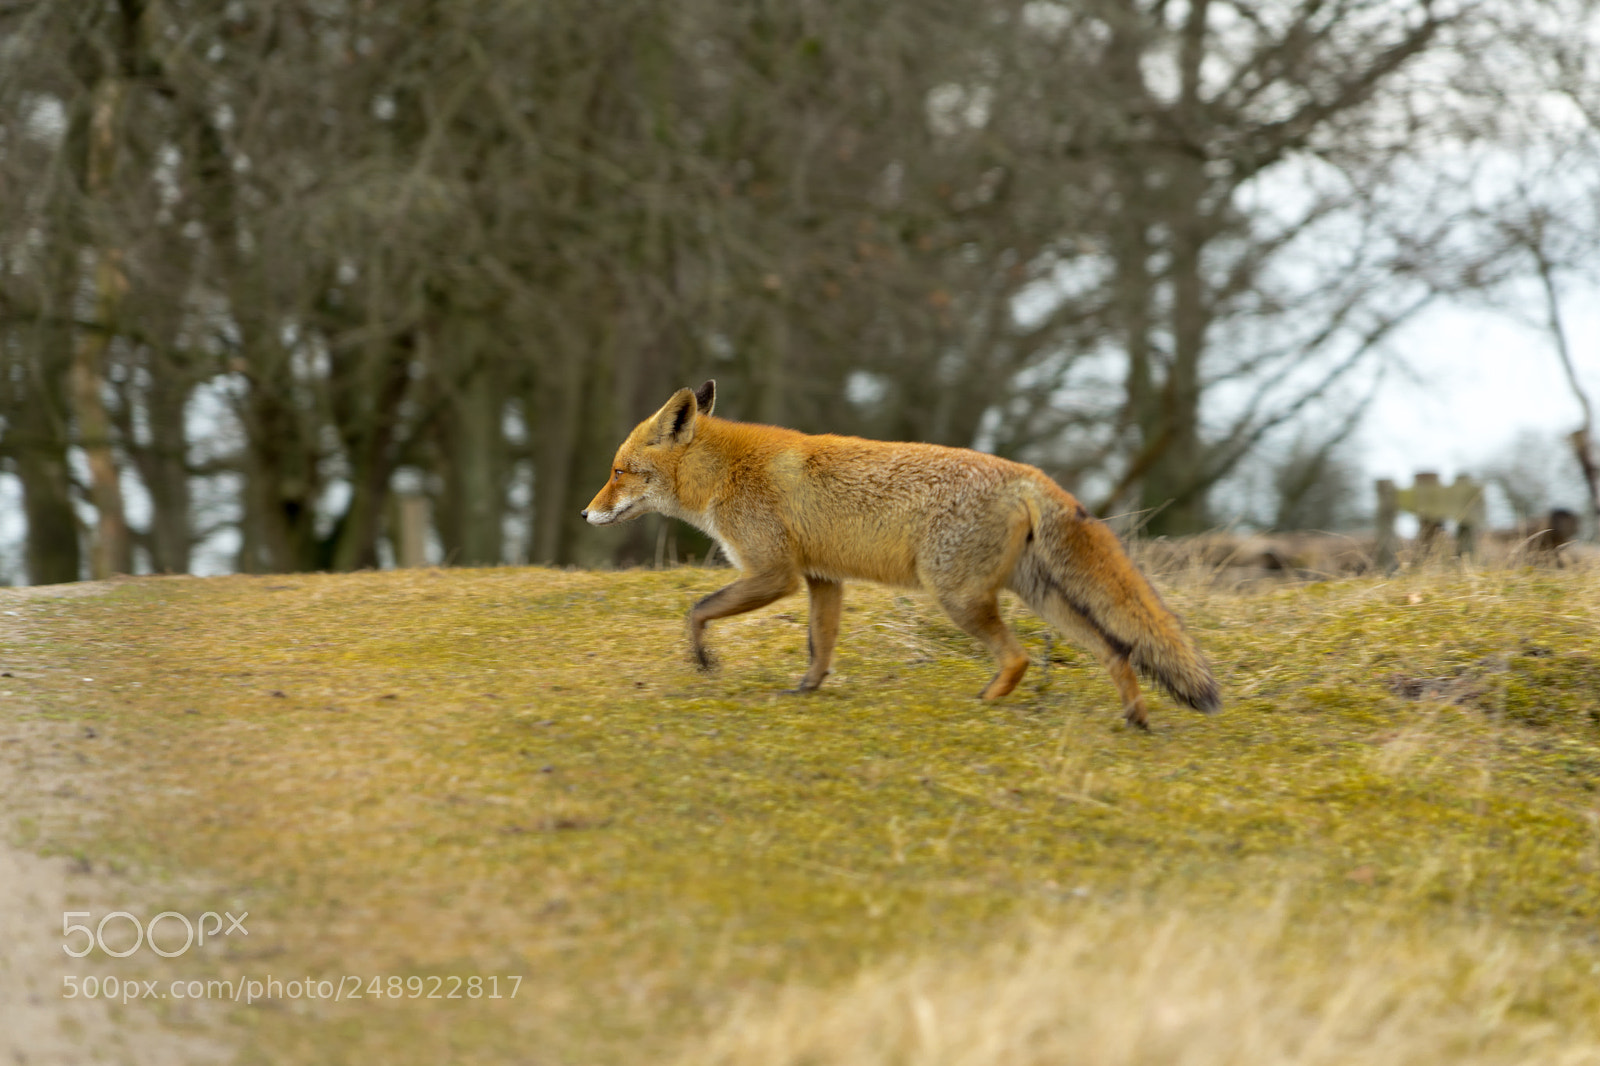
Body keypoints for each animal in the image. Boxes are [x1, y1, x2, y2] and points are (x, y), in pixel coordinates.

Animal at [581, 381, 1220, 728]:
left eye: (617, 472)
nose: (585, 516)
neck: (725, 474)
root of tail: (1031, 475)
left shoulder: (774, 573)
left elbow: (697, 610)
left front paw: (703, 661)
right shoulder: (822, 579)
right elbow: (820, 646)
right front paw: (806, 690)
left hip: (957, 596)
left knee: (1017, 657)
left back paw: (986, 701)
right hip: (1040, 596)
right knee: (1118, 648)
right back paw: (1134, 716)